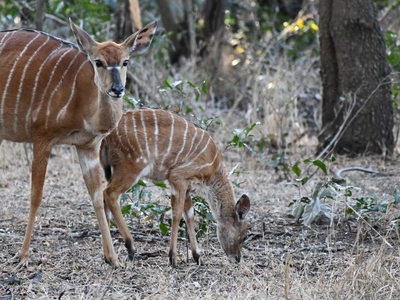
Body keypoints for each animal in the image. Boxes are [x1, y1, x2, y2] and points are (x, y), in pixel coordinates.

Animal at [0, 19, 156, 266]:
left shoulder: (88, 146)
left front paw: (112, 258)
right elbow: (36, 196)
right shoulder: (42, 137)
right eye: (98, 62)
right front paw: (23, 255)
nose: (117, 89)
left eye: (126, 61)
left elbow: (97, 195)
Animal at [100, 108, 250, 268]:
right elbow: (177, 214)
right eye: (244, 236)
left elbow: (189, 215)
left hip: (110, 170)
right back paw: (130, 248)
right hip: (132, 167)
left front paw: (198, 257)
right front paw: (172, 258)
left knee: (102, 196)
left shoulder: (186, 186)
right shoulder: (178, 177)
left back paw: (109, 257)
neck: (213, 169)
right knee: (110, 193)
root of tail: (106, 137)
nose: (237, 259)